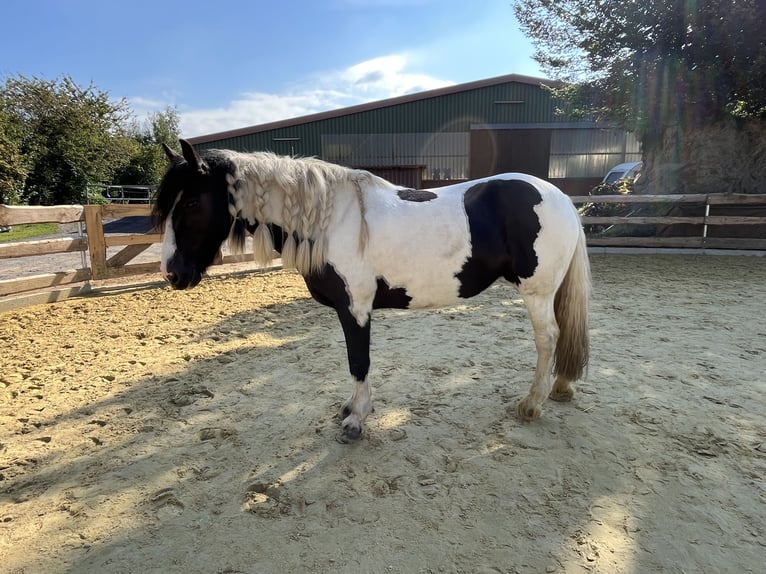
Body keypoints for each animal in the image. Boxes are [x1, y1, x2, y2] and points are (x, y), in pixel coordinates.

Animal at [154, 139, 590, 442]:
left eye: (191, 202)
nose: (172, 274)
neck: (328, 219)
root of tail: (560, 198)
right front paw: (352, 408)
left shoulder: (356, 307)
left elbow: (358, 362)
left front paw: (357, 418)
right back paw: (561, 388)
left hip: (537, 292)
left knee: (548, 338)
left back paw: (532, 404)